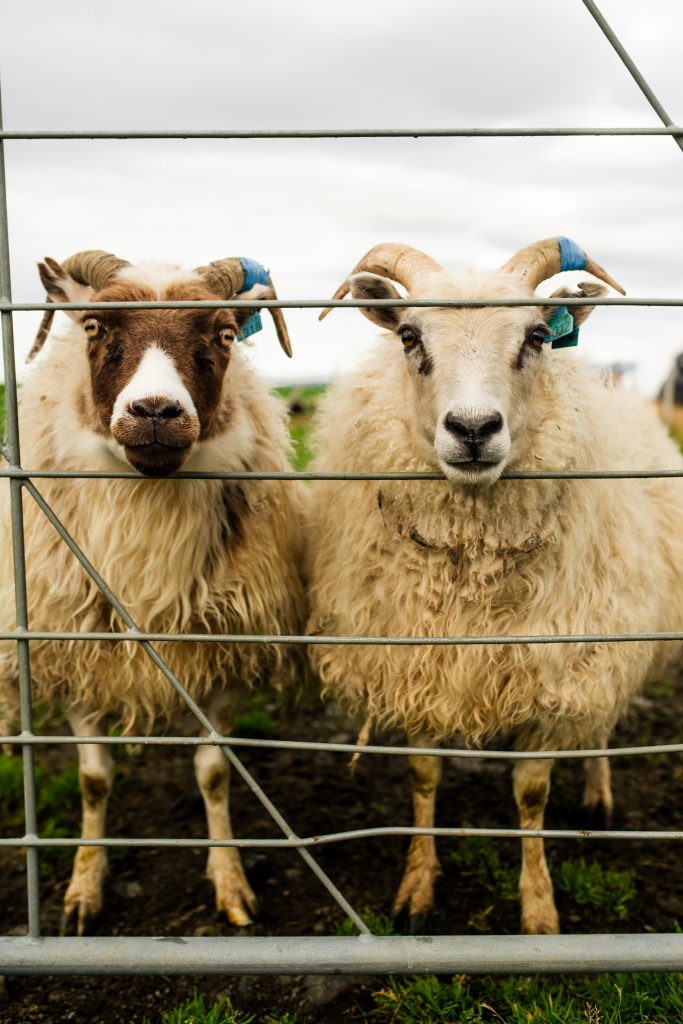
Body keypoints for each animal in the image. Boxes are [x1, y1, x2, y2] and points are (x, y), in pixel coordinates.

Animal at [0, 250, 306, 932]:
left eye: (225, 333)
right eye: (92, 326)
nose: (158, 413)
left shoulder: (224, 652)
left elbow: (214, 773)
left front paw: (230, 881)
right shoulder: (77, 653)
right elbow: (93, 780)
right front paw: (84, 888)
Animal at [307, 237, 683, 936]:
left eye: (536, 335)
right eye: (408, 335)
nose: (474, 428)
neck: (471, 569)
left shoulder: (553, 670)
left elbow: (530, 794)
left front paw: (538, 909)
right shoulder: (418, 662)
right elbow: (424, 776)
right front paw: (417, 888)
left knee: (599, 723)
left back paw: (597, 794)